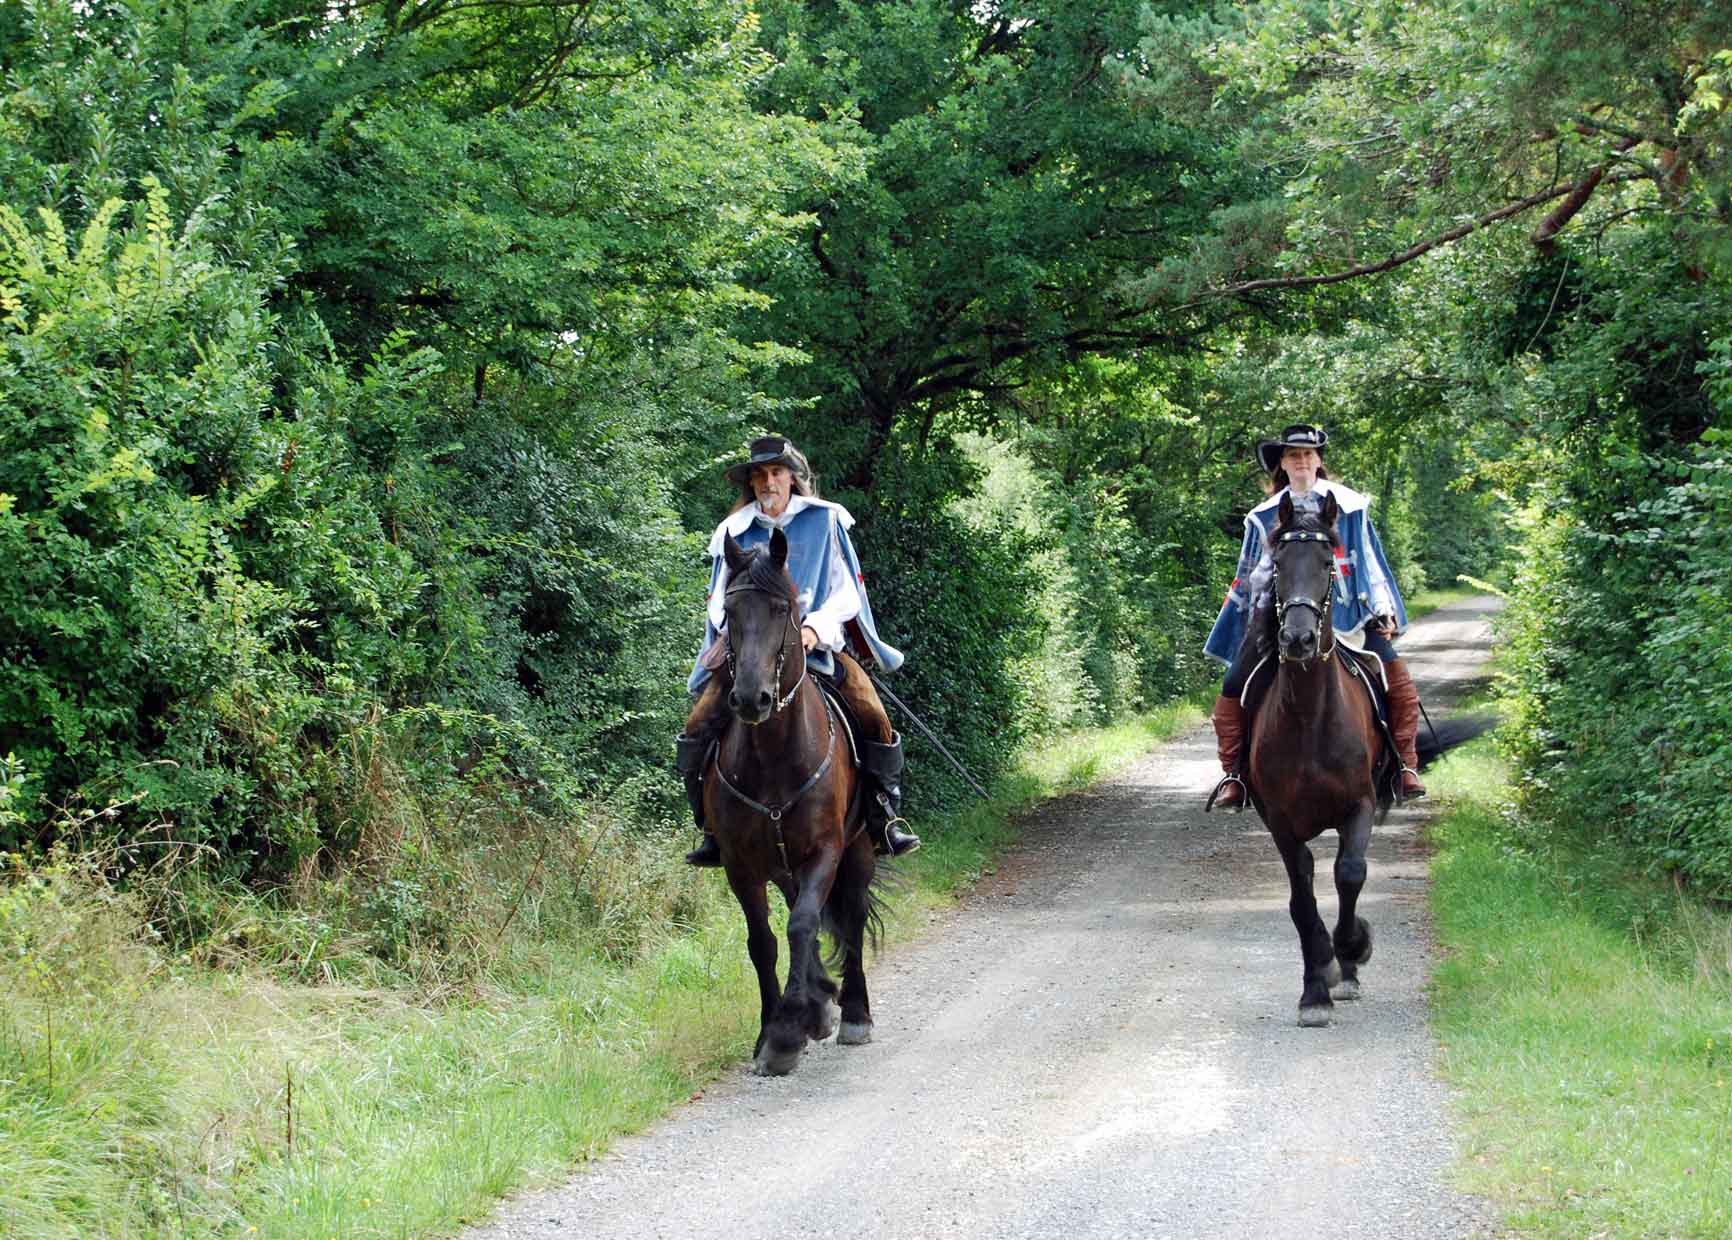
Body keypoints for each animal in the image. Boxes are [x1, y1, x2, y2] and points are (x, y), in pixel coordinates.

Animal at [703, 526, 886, 1073]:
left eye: (782, 609)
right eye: (730, 612)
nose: (750, 699)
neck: (774, 760)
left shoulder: (825, 850)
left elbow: (804, 926)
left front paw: (788, 1031)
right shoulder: (740, 864)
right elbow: (762, 941)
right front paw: (772, 1029)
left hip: (859, 850)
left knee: (850, 919)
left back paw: (852, 1013)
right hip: (783, 866)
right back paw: (819, 1003)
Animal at [1247, 495, 1489, 1025]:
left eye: (1326, 564)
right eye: (1277, 565)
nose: (1298, 640)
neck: (1308, 720)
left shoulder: (1358, 805)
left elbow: (1350, 874)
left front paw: (1353, 950)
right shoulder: (1281, 822)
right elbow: (1301, 900)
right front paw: (1315, 990)